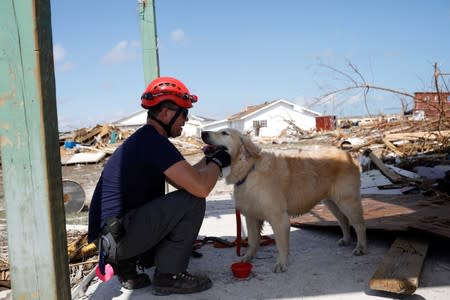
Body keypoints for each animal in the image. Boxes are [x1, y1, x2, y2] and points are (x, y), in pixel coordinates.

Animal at [202, 127, 368, 274]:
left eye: (224, 133)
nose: (203, 132)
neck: (249, 170)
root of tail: (348, 155)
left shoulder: (279, 218)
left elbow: (281, 245)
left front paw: (281, 263)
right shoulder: (251, 216)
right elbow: (253, 241)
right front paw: (248, 257)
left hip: (347, 201)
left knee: (359, 224)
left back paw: (361, 247)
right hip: (332, 202)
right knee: (344, 221)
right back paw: (346, 239)